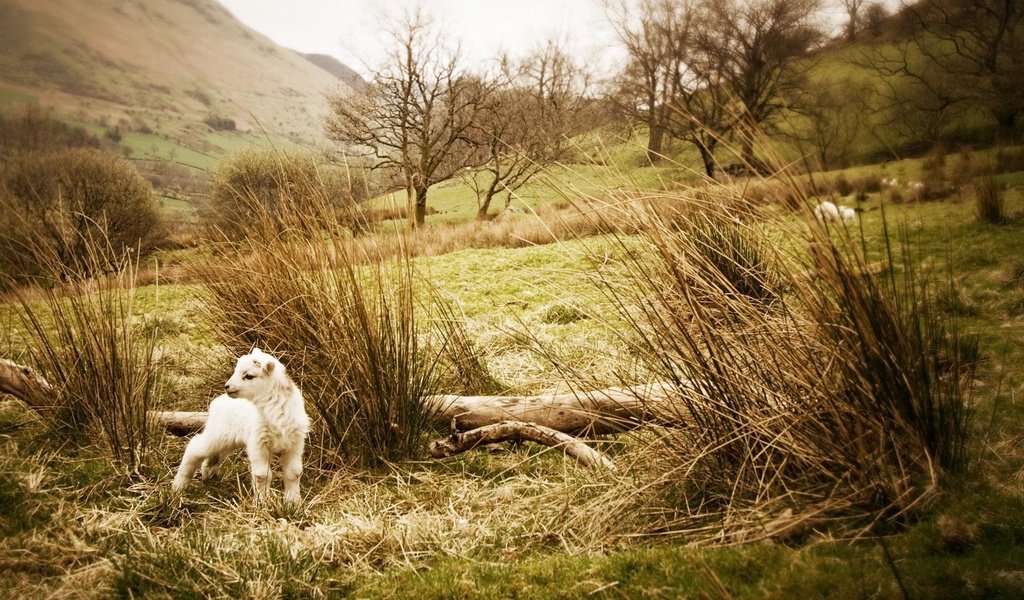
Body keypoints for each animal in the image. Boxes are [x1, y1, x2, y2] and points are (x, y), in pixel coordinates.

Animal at [172, 346, 309, 503]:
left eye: (249, 376)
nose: (227, 386)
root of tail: (218, 401)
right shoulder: (258, 443)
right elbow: (262, 475)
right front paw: (262, 503)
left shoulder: (295, 443)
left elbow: (294, 472)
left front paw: (293, 502)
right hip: (217, 434)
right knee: (193, 447)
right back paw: (178, 485)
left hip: (229, 440)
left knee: (215, 455)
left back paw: (207, 472)